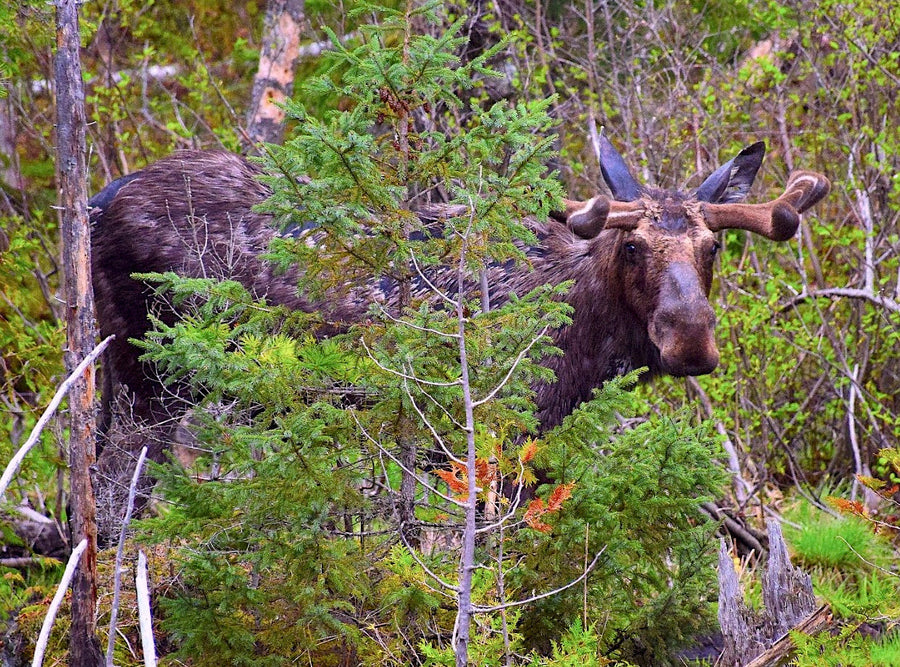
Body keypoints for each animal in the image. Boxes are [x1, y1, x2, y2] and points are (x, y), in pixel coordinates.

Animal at [87, 136, 829, 535]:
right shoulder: (490, 435)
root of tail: (97, 201)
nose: (692, 342)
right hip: (155, 380)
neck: (584, 348)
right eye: (631, 246)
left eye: (713, 247)